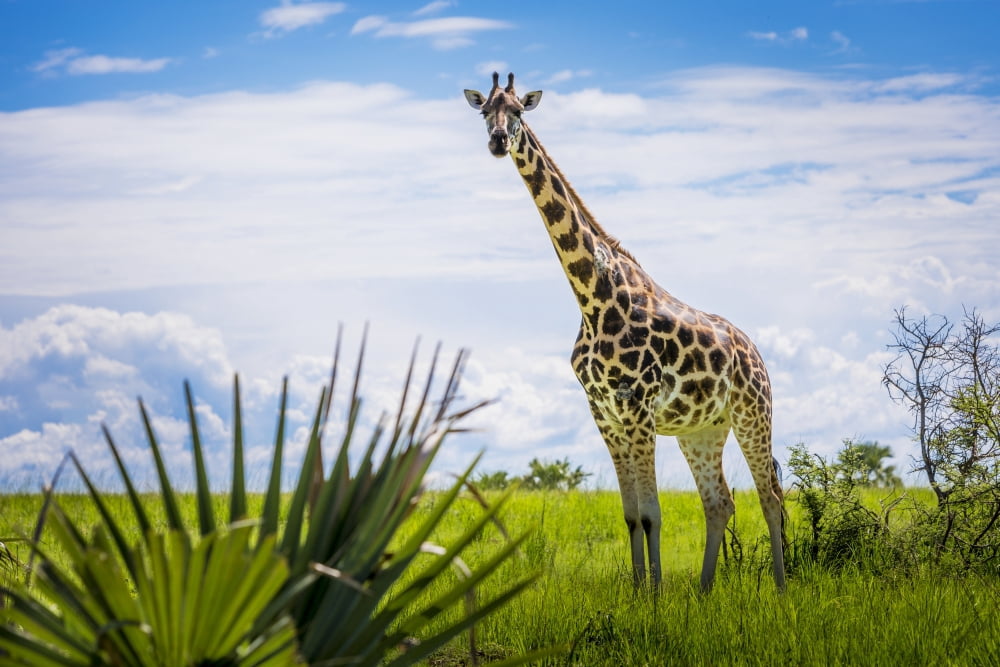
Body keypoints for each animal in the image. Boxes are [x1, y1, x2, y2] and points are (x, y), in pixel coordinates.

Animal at [464, 73, 786, 591]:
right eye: (484, 110)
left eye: (519, 111)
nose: (497, 142)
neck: (592, 298)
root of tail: (755, 353)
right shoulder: (604, 413)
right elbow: (632, 514)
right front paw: (640, 591)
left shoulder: (636, 407)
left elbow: (652, 513)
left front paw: (654, 594)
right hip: (703, 429)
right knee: (719, 502)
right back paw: (703, 591)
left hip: (753, 413)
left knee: (770, 495)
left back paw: (780, 587)